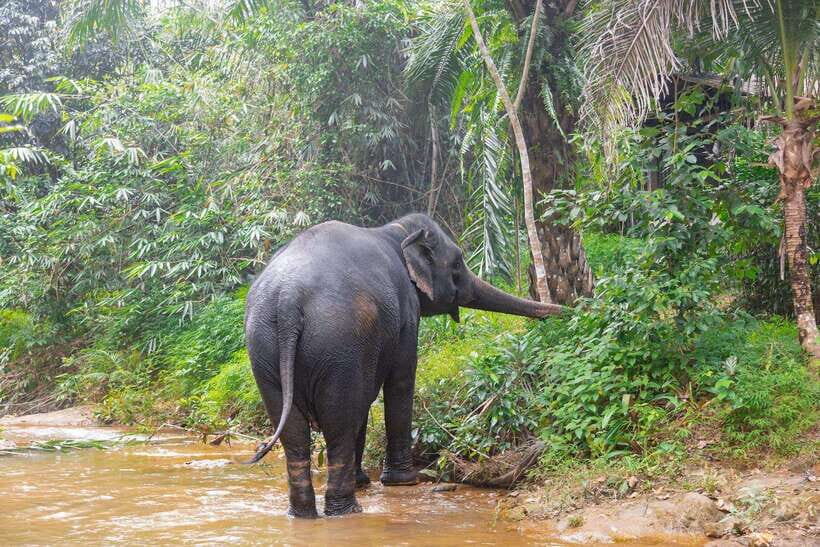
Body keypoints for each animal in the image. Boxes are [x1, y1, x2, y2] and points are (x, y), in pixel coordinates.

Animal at [244, 213, 563, 518]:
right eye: (457, 263)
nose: (565, 310)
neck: (395, 230)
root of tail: (289, 299)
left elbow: (365, 402)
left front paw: (366, 480)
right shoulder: (407, 312)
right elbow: (401, 379)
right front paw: (405, 481)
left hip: (265, 352)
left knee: (294, 434)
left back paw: (303, 514)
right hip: (336, 345)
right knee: (339, 423)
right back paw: (347, 511)